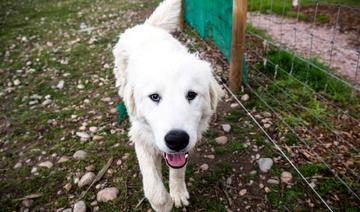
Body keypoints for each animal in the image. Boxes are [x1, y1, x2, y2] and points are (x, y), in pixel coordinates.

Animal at [112, 0, 224, 210]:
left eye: (191, 95)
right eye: (154, 97)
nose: (177, 139)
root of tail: (146, 26)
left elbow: (178, 170)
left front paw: (177, 193)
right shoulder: (140, 137)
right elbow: (153, 187)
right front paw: (162, 204)